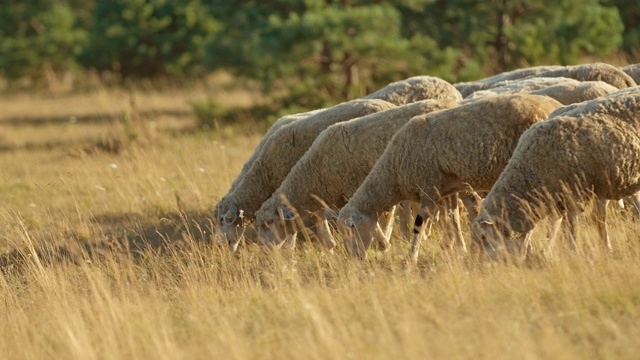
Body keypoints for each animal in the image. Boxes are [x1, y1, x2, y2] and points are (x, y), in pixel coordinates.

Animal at [338, 94, 564, 260]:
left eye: (351, 228)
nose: (354, 259)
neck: (394, 171)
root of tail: (554, 105)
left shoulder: (428, 187)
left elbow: (420, 225)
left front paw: (410, 259)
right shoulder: (448, 188)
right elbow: (452, 218)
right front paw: (461, 249)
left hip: (539, 166)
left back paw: (538, 248)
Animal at [470, 88, 640, 258]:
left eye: (484, 237)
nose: (485, 263)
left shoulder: (573, 195)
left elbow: (570, 225)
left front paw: (572, 250)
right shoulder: (557, 199)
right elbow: (554, 226)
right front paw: (547, 251)